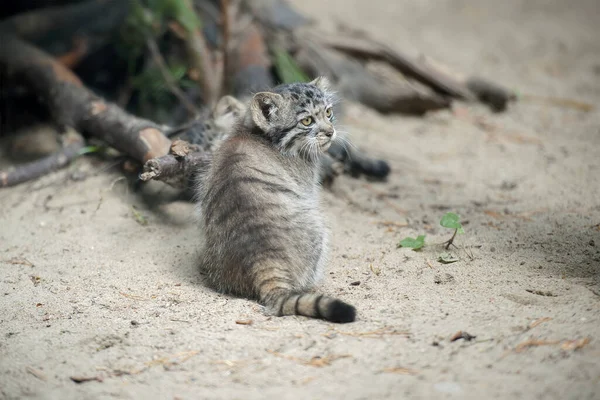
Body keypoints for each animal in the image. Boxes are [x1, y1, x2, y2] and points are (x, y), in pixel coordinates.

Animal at [197, 77, 356, 322]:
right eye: (307, 120)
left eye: (328, 112)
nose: (331, 132)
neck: (254, 132)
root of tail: (263, 258)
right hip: (318, 230)